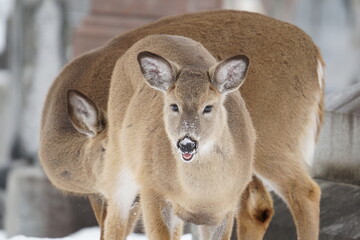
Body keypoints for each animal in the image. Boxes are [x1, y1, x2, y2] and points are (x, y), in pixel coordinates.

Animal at [39, 9, 324, 240]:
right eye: (103, 149)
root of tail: (317, 60)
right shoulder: (108, 195)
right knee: (259, 206)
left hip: (272, 136)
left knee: (302, 190)